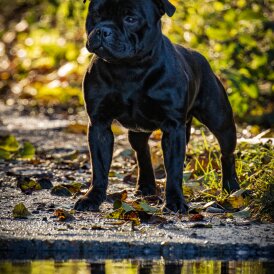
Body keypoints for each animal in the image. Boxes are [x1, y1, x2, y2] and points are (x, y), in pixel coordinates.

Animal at [75, 0, 240, 213]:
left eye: (130, 19)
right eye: (96, 14)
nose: (103, 30)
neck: (129, 68)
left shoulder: (173, 128)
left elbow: (174, 171)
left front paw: (175, 201)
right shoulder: (99, 124)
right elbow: (100, 167)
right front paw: (92, 197)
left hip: (221, 121)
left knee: (227, 153)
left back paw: (231, 186)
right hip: (138, 131)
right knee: (142, 151)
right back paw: (146, 186)